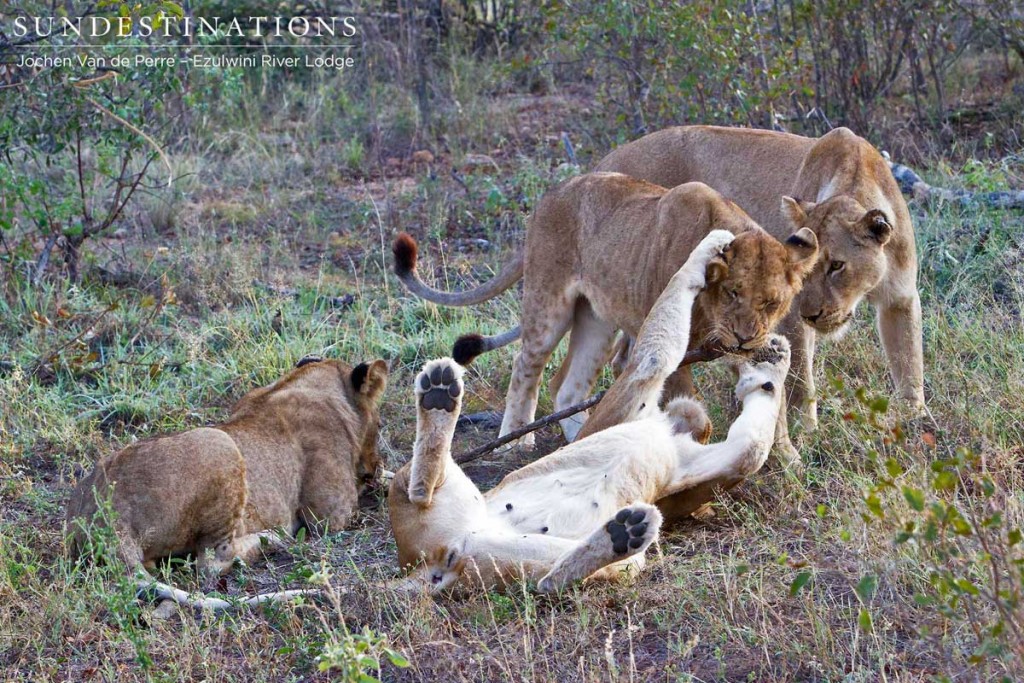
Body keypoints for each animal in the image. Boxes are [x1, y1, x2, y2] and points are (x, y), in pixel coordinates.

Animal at [67, 356, 387, 610]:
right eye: (381, 425)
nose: (376, 464)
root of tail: (107, 516)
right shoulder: (330, 515)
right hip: (221, 443)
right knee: (210, 562)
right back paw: (272, 538)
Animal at [387, 231, 786, 593]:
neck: (671, 432)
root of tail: (434, 563)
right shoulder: (631, 394)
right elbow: (665, 331)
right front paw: (712, 244)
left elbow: (751, 448)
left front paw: (772, 365)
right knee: (417, 484)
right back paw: (439, 394)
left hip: (526, 557)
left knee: (549, 581)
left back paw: (622, 533)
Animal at [391, 174, 815, 456]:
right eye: (733, 293)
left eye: (771, 303)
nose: (745, 337)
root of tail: (550, 195)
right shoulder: (681, 353)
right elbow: (692, 404)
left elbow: (773, 400)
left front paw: (787, 458)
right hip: (548, 307)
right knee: (525, 369)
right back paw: (515, 439)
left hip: (597, 322)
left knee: (569, 388)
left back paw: (587, 438)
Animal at [593, 125, 929, 456]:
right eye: (809, 270)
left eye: (837, 265)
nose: (812, 315)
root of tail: (605, 161)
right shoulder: (790, 316)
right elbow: (800, 377)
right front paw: (806, 431)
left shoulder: (901, 298)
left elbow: (909, 358)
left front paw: (914, 418)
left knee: (626, 357)